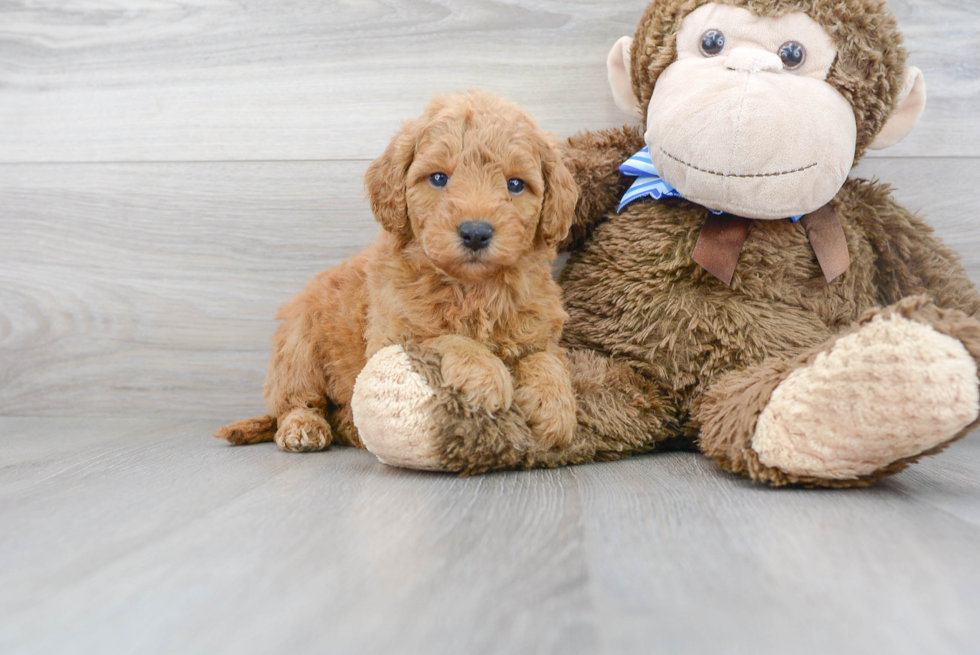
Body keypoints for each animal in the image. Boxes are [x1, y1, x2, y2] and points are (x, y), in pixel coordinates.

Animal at [217, 89, 580, 454]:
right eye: (438, 178)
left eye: (516, 185)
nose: (476, 233)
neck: (472, 288)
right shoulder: (391, 338)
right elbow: (443, 337)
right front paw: (486, 375)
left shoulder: (539, 332)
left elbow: (546, 359)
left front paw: (555, 408)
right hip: (298, 346)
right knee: (295, 400)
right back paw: (303, 427)